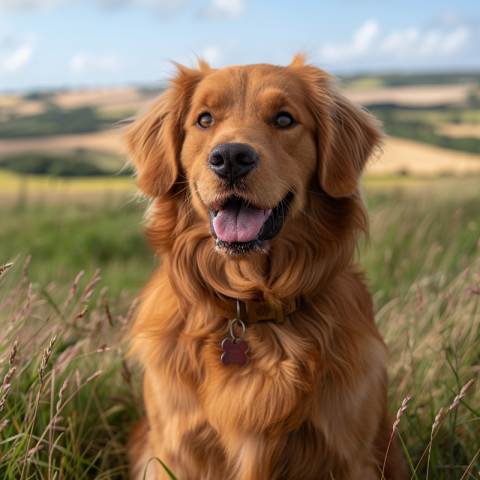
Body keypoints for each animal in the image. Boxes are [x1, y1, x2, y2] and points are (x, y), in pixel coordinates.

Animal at [124, 53, 404, 480]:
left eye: (284, 119)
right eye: (204, 119)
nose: (230, 159)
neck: (251, 303)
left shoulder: (352, 454)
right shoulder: (175, 452)